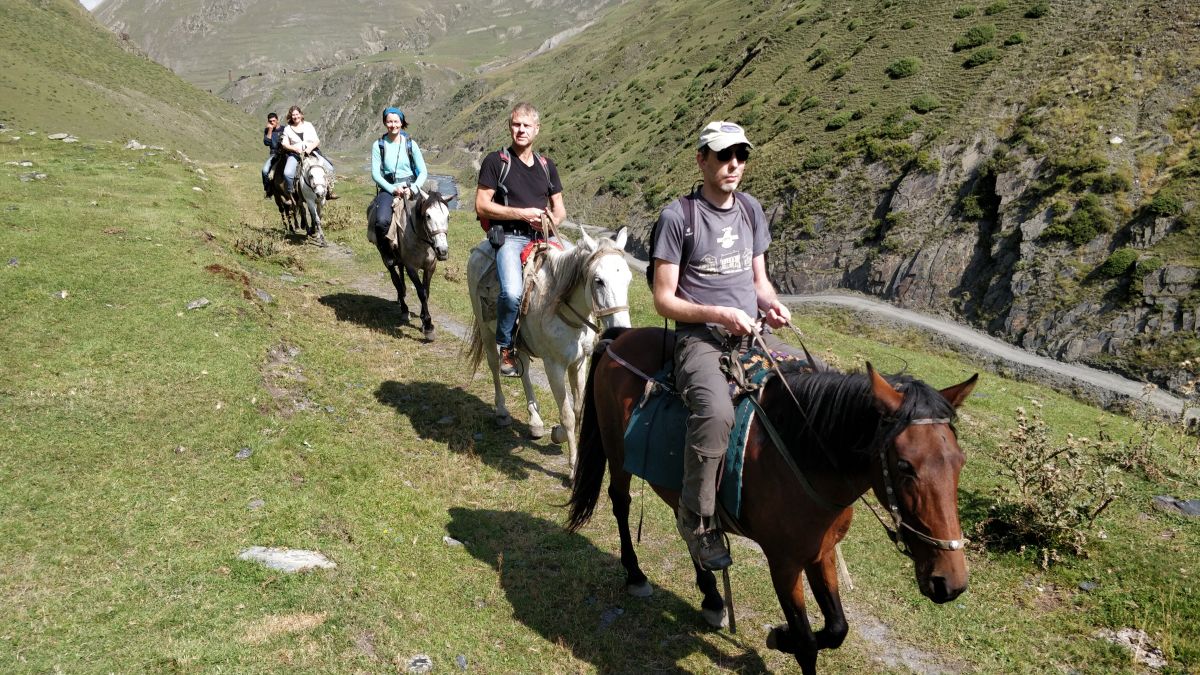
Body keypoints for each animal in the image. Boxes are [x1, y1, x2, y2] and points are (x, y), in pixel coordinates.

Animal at [465, 223, 638, 475]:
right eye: (598, 280)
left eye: (628, 278)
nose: (621, 331)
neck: (560, 306)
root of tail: (480, 248)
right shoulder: (554, 366)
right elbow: (567, 414)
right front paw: (573, 465)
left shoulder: (579, 362)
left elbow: (577, 409)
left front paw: (557, 434)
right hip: (486, 330)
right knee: (494, 365)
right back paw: (502, 411)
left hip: (521, 341)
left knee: (524, 370)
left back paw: (535, 421)